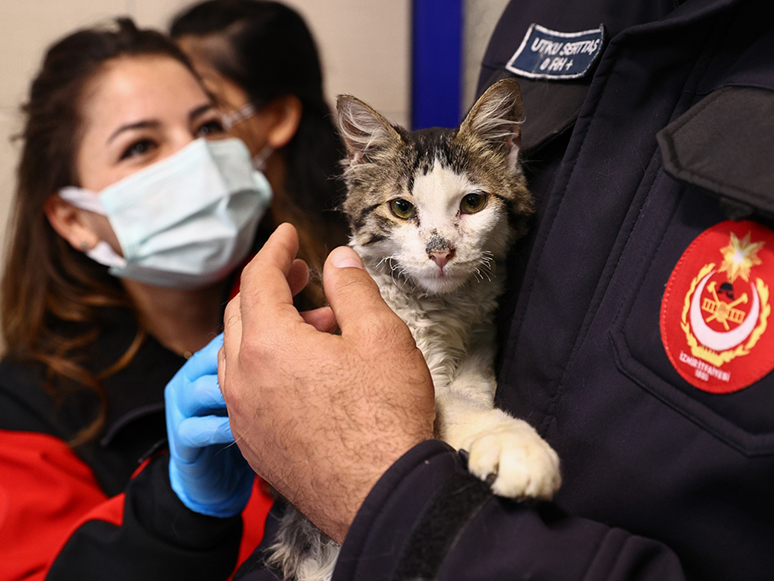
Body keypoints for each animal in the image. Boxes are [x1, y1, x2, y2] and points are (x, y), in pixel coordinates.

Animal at [266, 78, 564, 580]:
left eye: (473, 203)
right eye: (402, 208)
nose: (440, 251)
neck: (441, 311)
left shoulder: (478, 346)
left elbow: (474, 386)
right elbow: (453, 405)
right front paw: (516, 444)